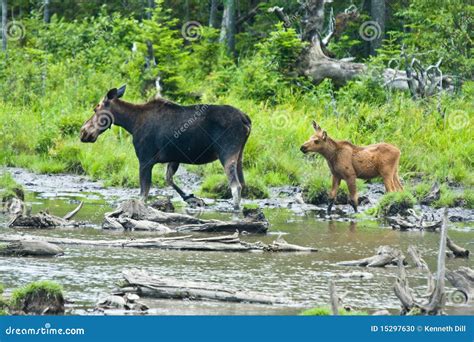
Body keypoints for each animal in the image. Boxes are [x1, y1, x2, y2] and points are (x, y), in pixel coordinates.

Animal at [80, 85, 252, 210]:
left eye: (96, 108)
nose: (83, 132)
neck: (131, 123)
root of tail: (246, 119)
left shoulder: (145, 159)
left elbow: (143, 195)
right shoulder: (174, 158)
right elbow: (168, 179)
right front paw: (191, 198)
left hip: (227, 152)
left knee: (235, 186)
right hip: (240, 155)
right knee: (242, 184)